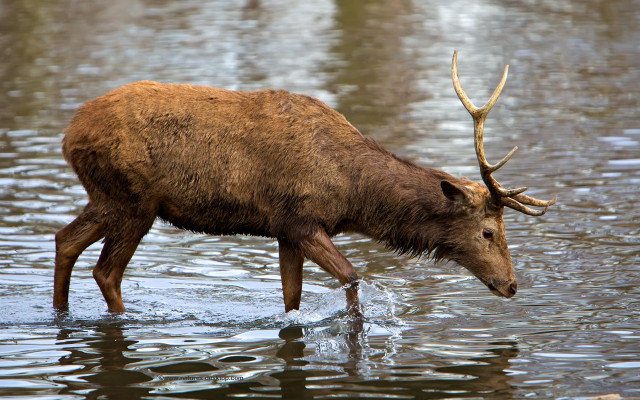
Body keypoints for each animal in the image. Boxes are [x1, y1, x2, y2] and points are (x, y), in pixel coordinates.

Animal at [54, 51, 556, 316]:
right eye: (488, 232)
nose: (512, 286)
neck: (353, 194)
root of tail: (68, 134)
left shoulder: (284, 232)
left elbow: (291, 298)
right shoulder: (301, 220)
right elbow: (353, 276)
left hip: (106, 197)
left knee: (65, 240)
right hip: (134, 201)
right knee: (106, 270)